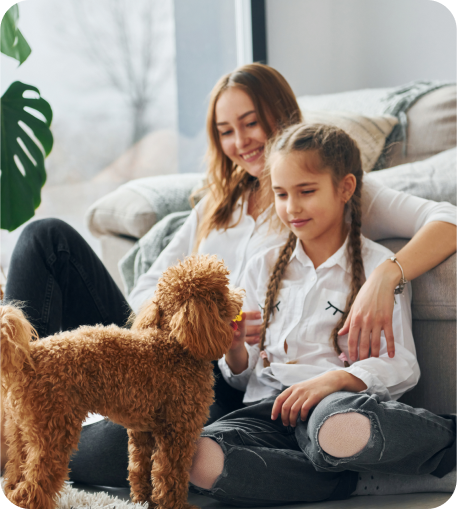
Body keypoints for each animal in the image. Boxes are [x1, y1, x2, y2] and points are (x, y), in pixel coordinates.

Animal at [0, 256, 242, 508]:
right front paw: (175, 505)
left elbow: (140, 468)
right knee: (31, 488)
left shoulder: (142, 431)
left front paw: (143, 500)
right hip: (53, 432)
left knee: (14, 476)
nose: (239, 297)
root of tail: (27, 358)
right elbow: (171, 474)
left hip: (20, 432)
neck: (175, 343)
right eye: (222, 292)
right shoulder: (177, 430)